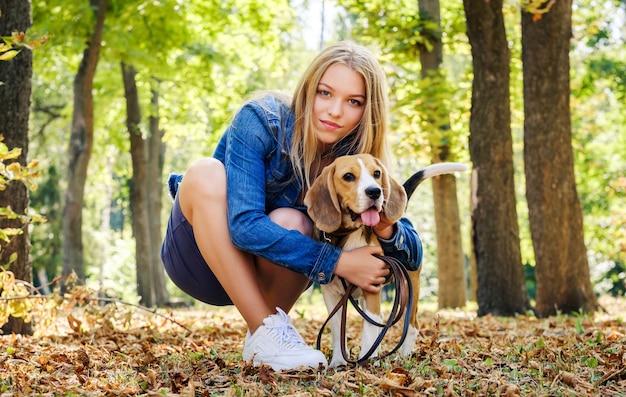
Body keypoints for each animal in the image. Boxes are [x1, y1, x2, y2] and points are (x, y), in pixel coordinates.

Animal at [302, 153, 464, 366]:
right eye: (348, 176)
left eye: (377, 173)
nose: (375, 192)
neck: (348, 236)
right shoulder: (331, 294)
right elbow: (337, 329)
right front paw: (338, 362)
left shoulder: (372, 288)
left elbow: (370, 329)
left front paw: (365, 362)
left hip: (409, 288)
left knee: (411, 325)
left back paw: (403, 355)